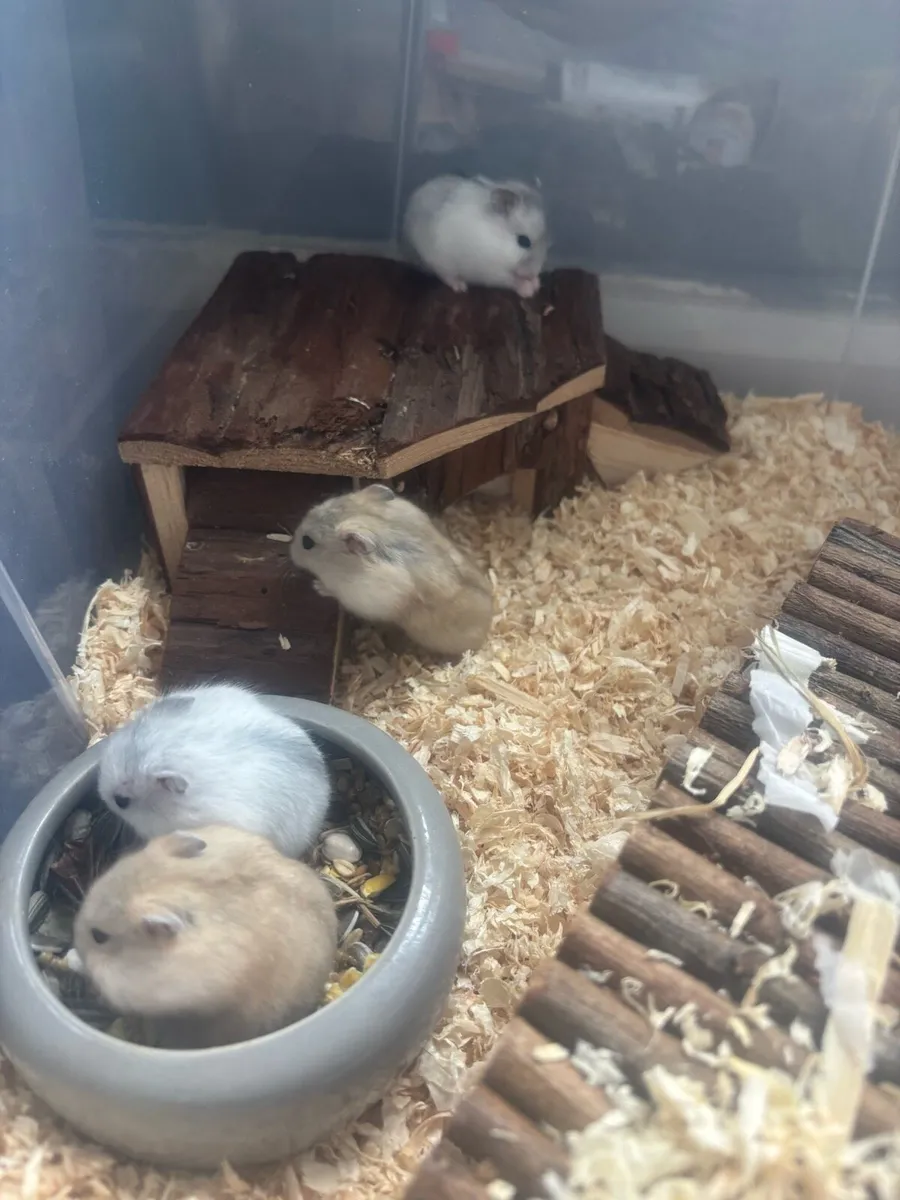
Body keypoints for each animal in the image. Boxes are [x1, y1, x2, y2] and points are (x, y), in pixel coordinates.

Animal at [291, 484, 493, 656]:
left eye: (307, 542)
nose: (290, 552)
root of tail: (489, 626)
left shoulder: (358, 596)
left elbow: (333, 592)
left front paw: (317, 586)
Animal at [403, 174, 547, 298]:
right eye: (523, 241)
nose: (535, 272)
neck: (497, 240)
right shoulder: (492, 271)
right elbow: (511, 280)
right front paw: (529, 290)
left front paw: (536, 283)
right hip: (438, 262)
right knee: (446, 276)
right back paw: (461, 287)